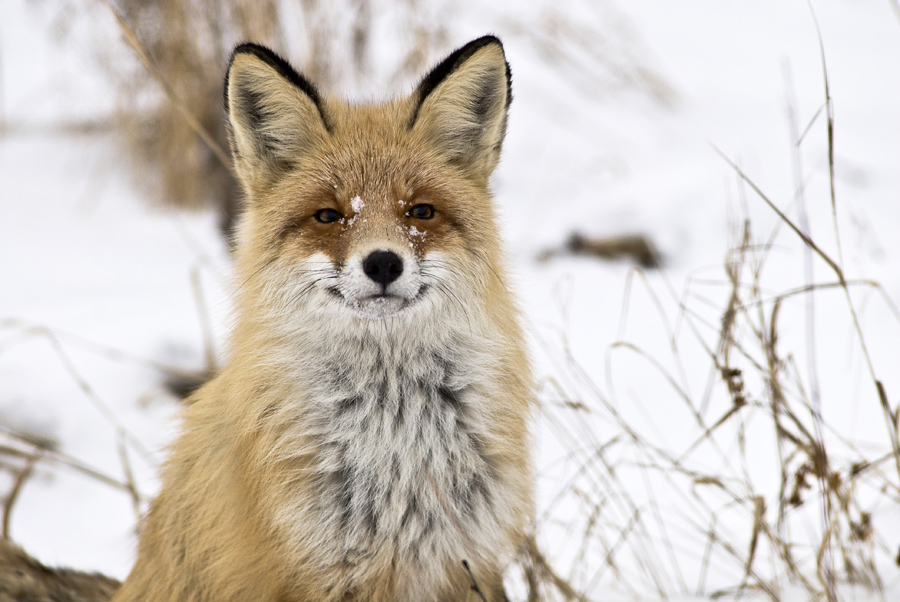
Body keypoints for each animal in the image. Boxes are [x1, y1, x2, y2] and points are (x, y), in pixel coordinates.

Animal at [1, 36, 536, 600]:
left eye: (421, 212)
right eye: (328, 215)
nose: (383, 263)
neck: (392, 440)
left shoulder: (466, 562)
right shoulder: (308, 569)